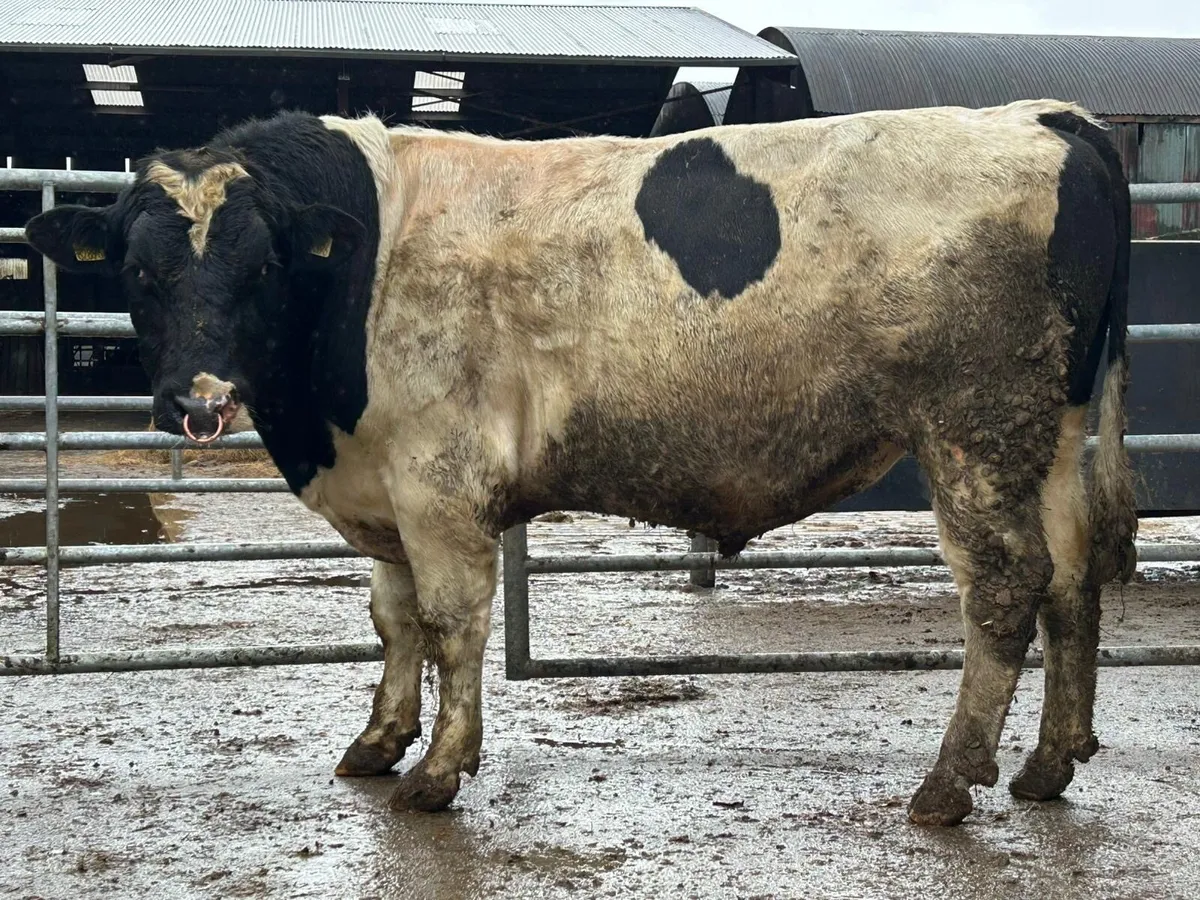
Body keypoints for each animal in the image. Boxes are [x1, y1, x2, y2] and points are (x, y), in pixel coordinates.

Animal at [24, 98, 1137, 827]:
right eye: (138, 270)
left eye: (261, 265)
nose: (199, 399)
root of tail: (1042, 118)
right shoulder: (382, 486)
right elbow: (392, 618)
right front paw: (378, 743)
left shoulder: (439, 479)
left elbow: (451, 621)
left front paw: (439, 769)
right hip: (1044, 431)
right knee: (1071, 577)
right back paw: (1049, 764)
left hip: (972, 426)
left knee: (1007, 586)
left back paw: (951, 782)